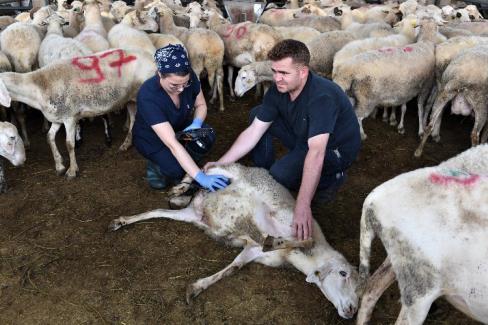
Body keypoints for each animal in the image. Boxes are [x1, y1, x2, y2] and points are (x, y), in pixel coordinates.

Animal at [0, 48, 155, 178]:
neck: (38, 87)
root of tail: (151, 57)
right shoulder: (57, 117)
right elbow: (49, 138)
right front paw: (59, 165)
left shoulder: (70, 117)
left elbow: (69, 143)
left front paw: (72, 170)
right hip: (130, 100)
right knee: (133, 120)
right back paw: (126, 144)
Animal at [111, 163, 362, 318]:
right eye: (343, 274)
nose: (352, 310)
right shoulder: (286, 219)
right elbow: (303, 240)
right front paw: (275, 240)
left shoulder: (253, 250)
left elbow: (234, 267)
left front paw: (196, 287)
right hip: (229, 171)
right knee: (204, 167)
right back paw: (180, 188)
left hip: (191, 215)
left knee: (158, 211)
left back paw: (123, 220)